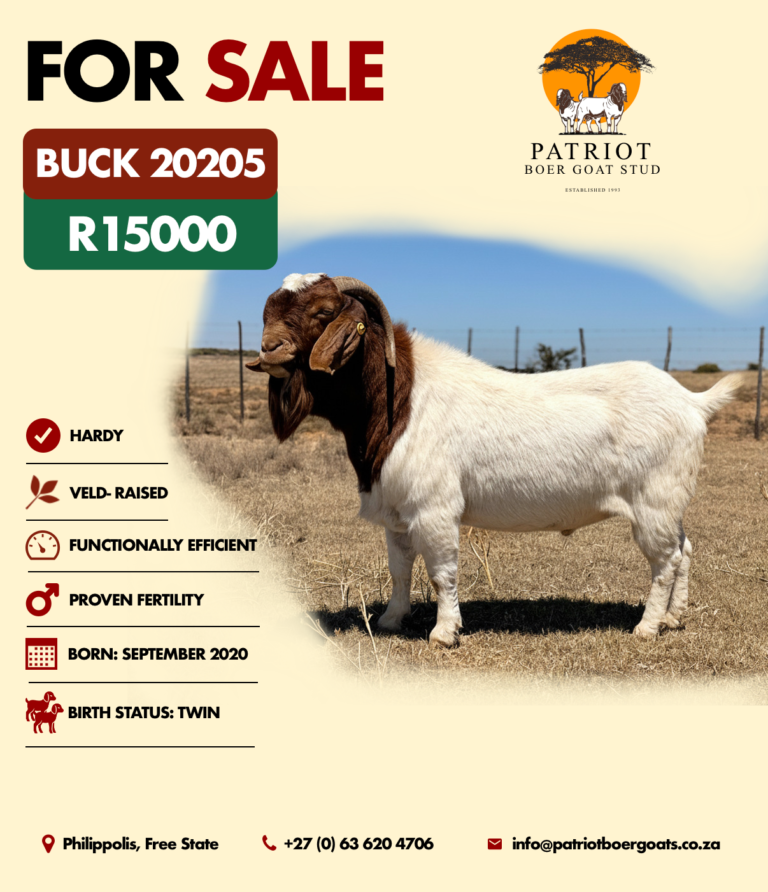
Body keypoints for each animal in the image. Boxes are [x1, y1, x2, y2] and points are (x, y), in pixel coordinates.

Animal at [248, 273, 743, 647]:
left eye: (323, 312)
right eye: (268, 309)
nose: (269, 348)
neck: (398, 397)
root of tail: (691, 401)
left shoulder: (435, 508)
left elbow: (441, 572)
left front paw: (444, 633)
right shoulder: (396, 511)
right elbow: (400, 568)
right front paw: (390, 620)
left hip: (653, 501)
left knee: (665, 561)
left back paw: (647, 626)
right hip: (669, 503)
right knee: (685, 550)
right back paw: (674, 618)